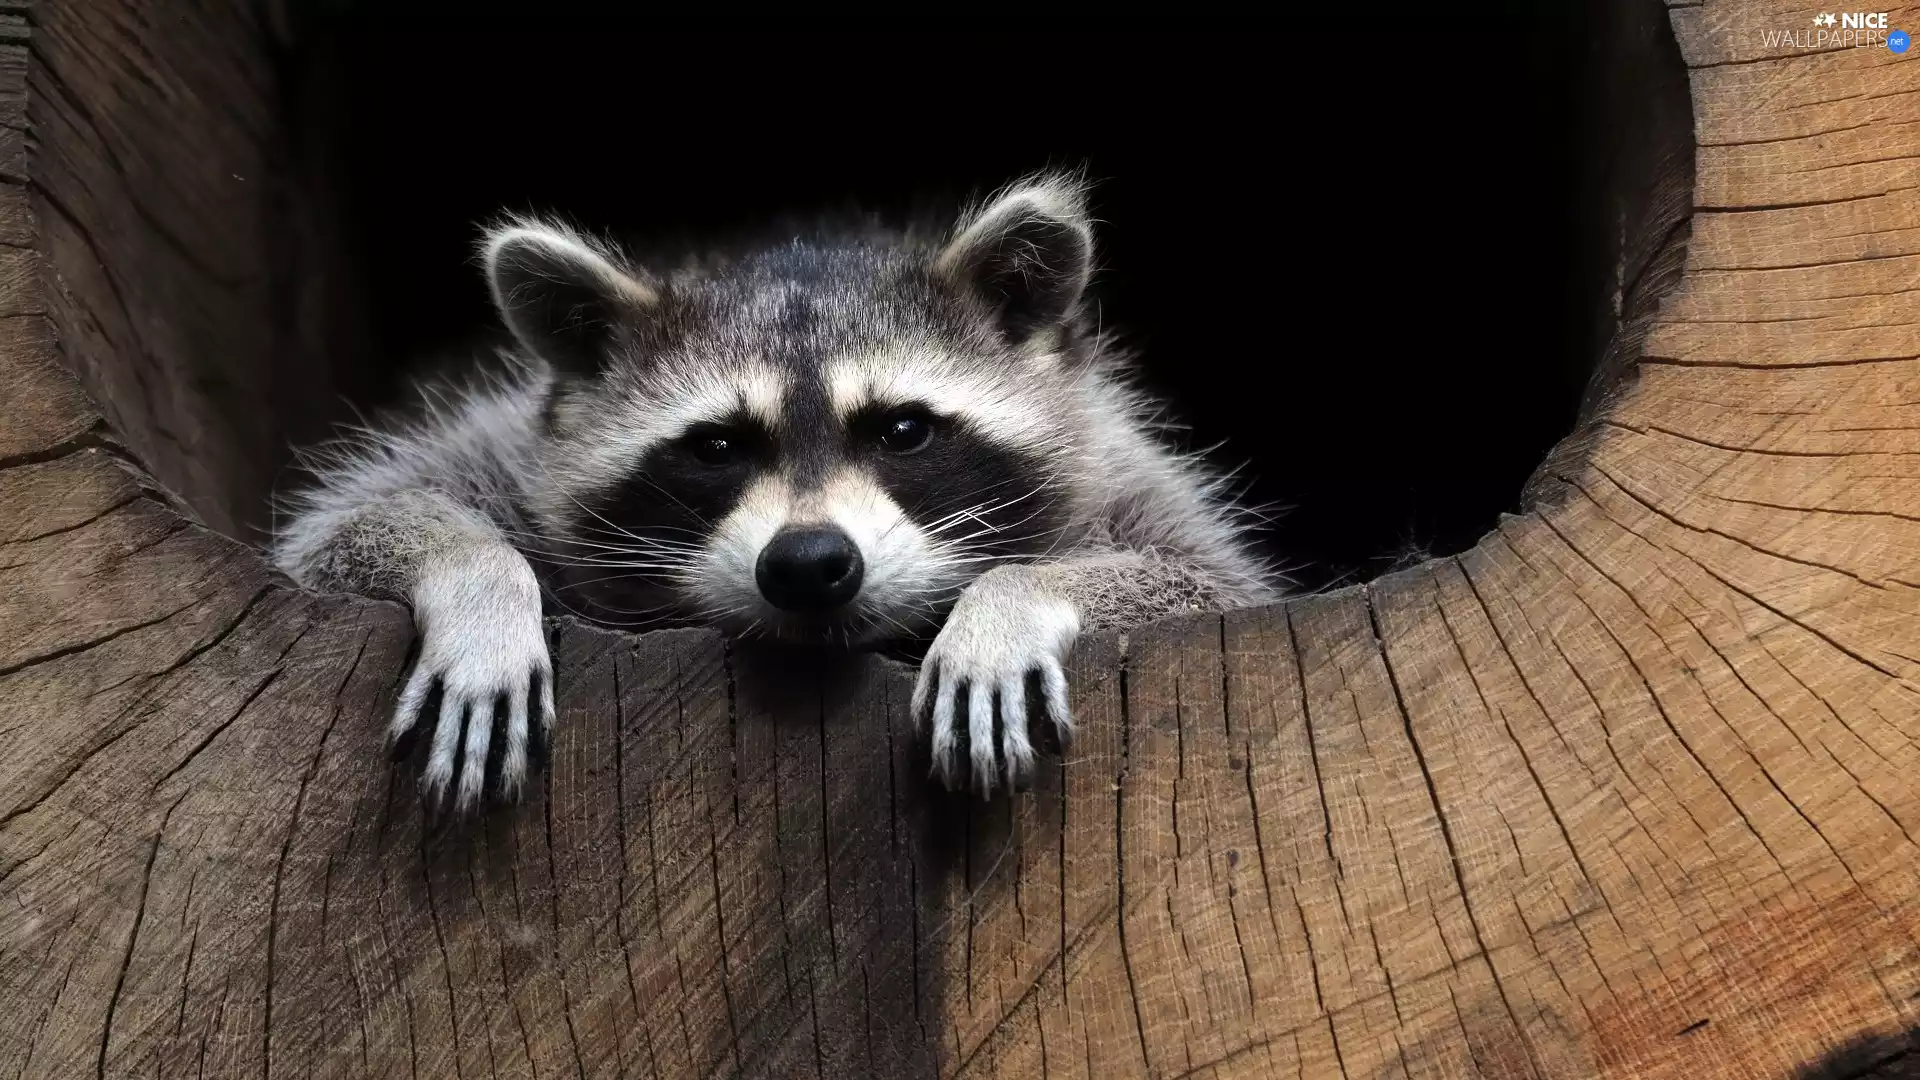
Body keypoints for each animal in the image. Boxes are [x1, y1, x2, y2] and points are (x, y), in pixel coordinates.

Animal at [272, 173, 1282, 813]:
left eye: (902, 430)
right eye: (716, 446)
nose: (808, 563)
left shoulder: (1121, 462)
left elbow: (1210, 580)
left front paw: (1014, 599)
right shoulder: (506, 444)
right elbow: (338, 531)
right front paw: (478, 580)